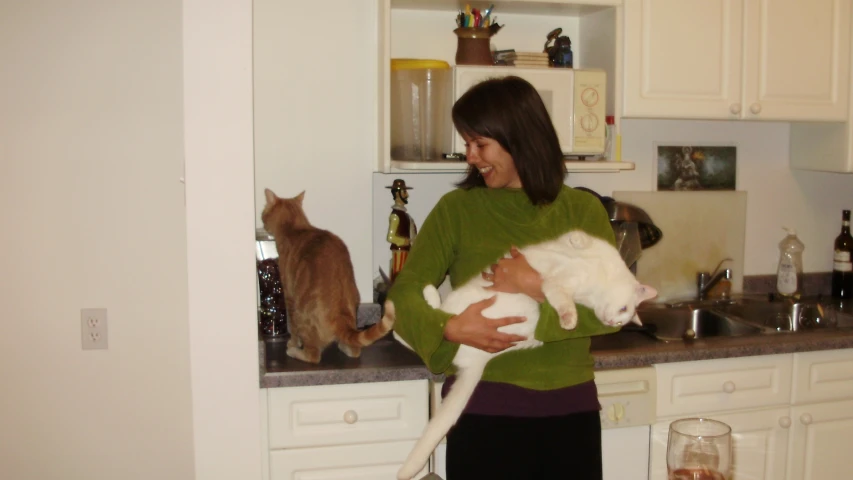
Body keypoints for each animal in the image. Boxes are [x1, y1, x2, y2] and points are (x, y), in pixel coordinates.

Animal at [262, 189, 394, 362]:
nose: (262, 223)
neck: (295, 229)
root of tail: (339, 316)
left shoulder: (289, 296)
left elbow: (294, 330)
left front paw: (293, 343)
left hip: (302, 314)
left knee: (313, 356)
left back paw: (295, 352)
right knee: (355, 350)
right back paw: (344, 346)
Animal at [392, 230, 660, 480]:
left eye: (622, 320)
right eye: (623, 310)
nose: (612, 322)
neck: (599, 279)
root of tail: (479, 361)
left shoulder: (560, 290)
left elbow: (563, 302)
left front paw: (569, 320)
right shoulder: (582, 257)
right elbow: (579, 239)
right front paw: (576, 242)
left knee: (432, 328)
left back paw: (425, 298)